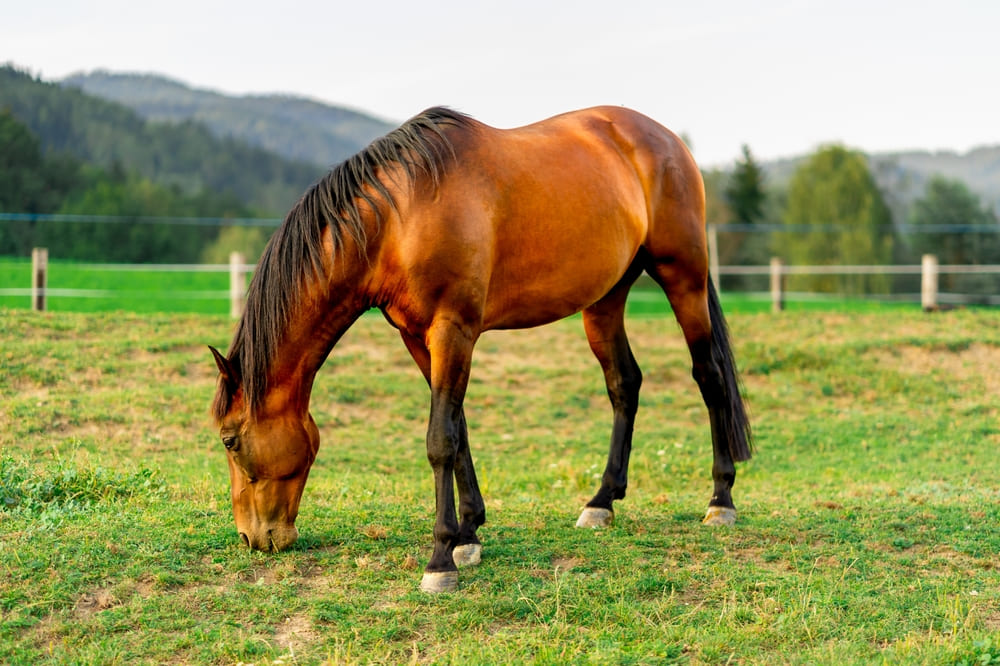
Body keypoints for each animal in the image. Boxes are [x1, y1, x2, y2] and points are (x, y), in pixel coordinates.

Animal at [210, 106, 752, 593]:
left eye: (230, 441)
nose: (252, 538)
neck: (400, 217)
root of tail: (666, 140)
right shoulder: (418, 337)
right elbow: (459, 429)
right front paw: (468, 534)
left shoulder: (453, 330)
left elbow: (439, 440)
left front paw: (439, 560)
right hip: (605, 299)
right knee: (624, 383)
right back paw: (602, 501)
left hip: (683, 278)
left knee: (709, 376)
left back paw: (720, 499)